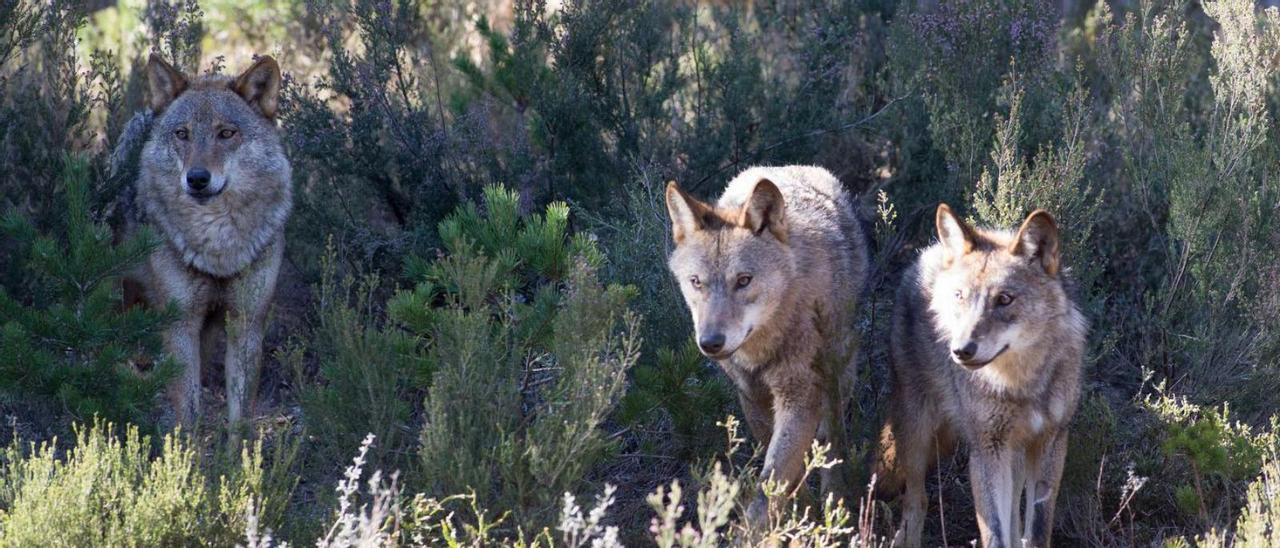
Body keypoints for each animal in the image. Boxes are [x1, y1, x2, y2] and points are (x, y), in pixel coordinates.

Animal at [116, 54, 291, 432]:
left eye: (226, 133)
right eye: (182, 134)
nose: (196, 178)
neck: (218, 249)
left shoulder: (246, 325)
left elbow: (239, 420)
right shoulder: (180, 325)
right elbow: (189, 418)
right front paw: (182, 452)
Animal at [665, 166, 865, 522]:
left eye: (744, 280)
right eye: (696, 282)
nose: (711, 342)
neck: (762, 348)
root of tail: (789, 167)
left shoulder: (800, 396)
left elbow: (771, 483)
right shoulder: (751, 395)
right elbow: (780, 471)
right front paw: (799, 510)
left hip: (837, 373)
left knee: (832, 438)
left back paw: (836, 498)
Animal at [880, 204, 1090, 548]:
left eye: (1004, 299)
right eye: (960, 296)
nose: (961, 350)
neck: (1020, 383)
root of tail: (928, 253)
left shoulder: (1051, 442)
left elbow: (1036, 529)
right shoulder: (986, 450)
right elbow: (994, 531)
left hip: (1014, 453)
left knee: (1014, 516)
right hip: (917, 430)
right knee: (917, 499)